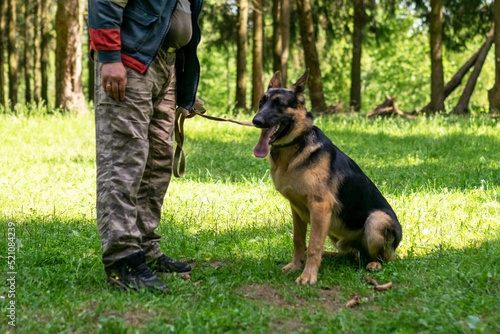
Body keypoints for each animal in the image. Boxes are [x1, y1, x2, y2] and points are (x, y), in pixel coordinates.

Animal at [254, 70, 402, 284]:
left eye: (279, 104)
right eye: (261, 102)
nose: (256, 121)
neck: (295, 145)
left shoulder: (320, 206)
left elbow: (314, 245)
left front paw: (308, 275)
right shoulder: (296, 209)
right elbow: (299, 240)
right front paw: (296, 265)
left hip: (375, 221)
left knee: (383, 257)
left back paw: (374, 264)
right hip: (334, 231)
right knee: (350, 254)